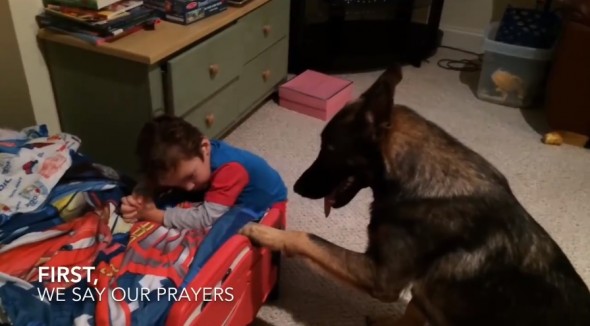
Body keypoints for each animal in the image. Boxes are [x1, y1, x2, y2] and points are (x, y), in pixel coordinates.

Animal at [240, 65, 590, 324]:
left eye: (329, 148)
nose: (296, 187)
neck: (416, 178)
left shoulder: (380, 277)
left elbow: (307, 237)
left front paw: (264, 232)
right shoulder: (417, 293)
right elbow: (410, 311)